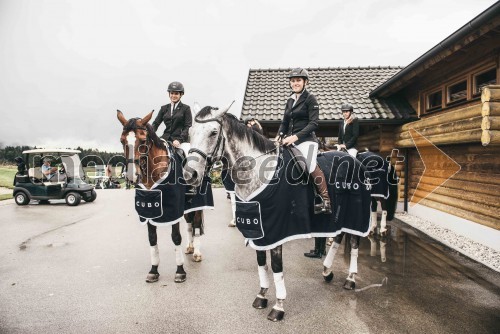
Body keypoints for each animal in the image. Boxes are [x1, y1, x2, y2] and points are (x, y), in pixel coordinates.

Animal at [117, 109, 211, 284]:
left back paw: (196, 252)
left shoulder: (174, 209)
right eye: (122, 141)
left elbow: (176, 237)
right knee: (189, 224)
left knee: (195, 224)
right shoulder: (149, 211)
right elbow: (152, 238)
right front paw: (153, 270)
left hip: (198, 203)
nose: (132, 176)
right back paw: (190, 247)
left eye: (143, 140)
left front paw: (180, 271)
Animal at [184, 103, 372, 320]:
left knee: (354, 243)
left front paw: (279, 306)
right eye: (190, 132)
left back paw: (350, 279)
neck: (259, 173)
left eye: (214, 132)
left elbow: (276, 266)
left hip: (356, 215)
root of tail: (354, 160)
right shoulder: (258, 230)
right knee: (339, 238)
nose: (189, 174)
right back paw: (327, 271)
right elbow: (261, 262)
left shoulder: (276, 230)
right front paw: (262, 295)